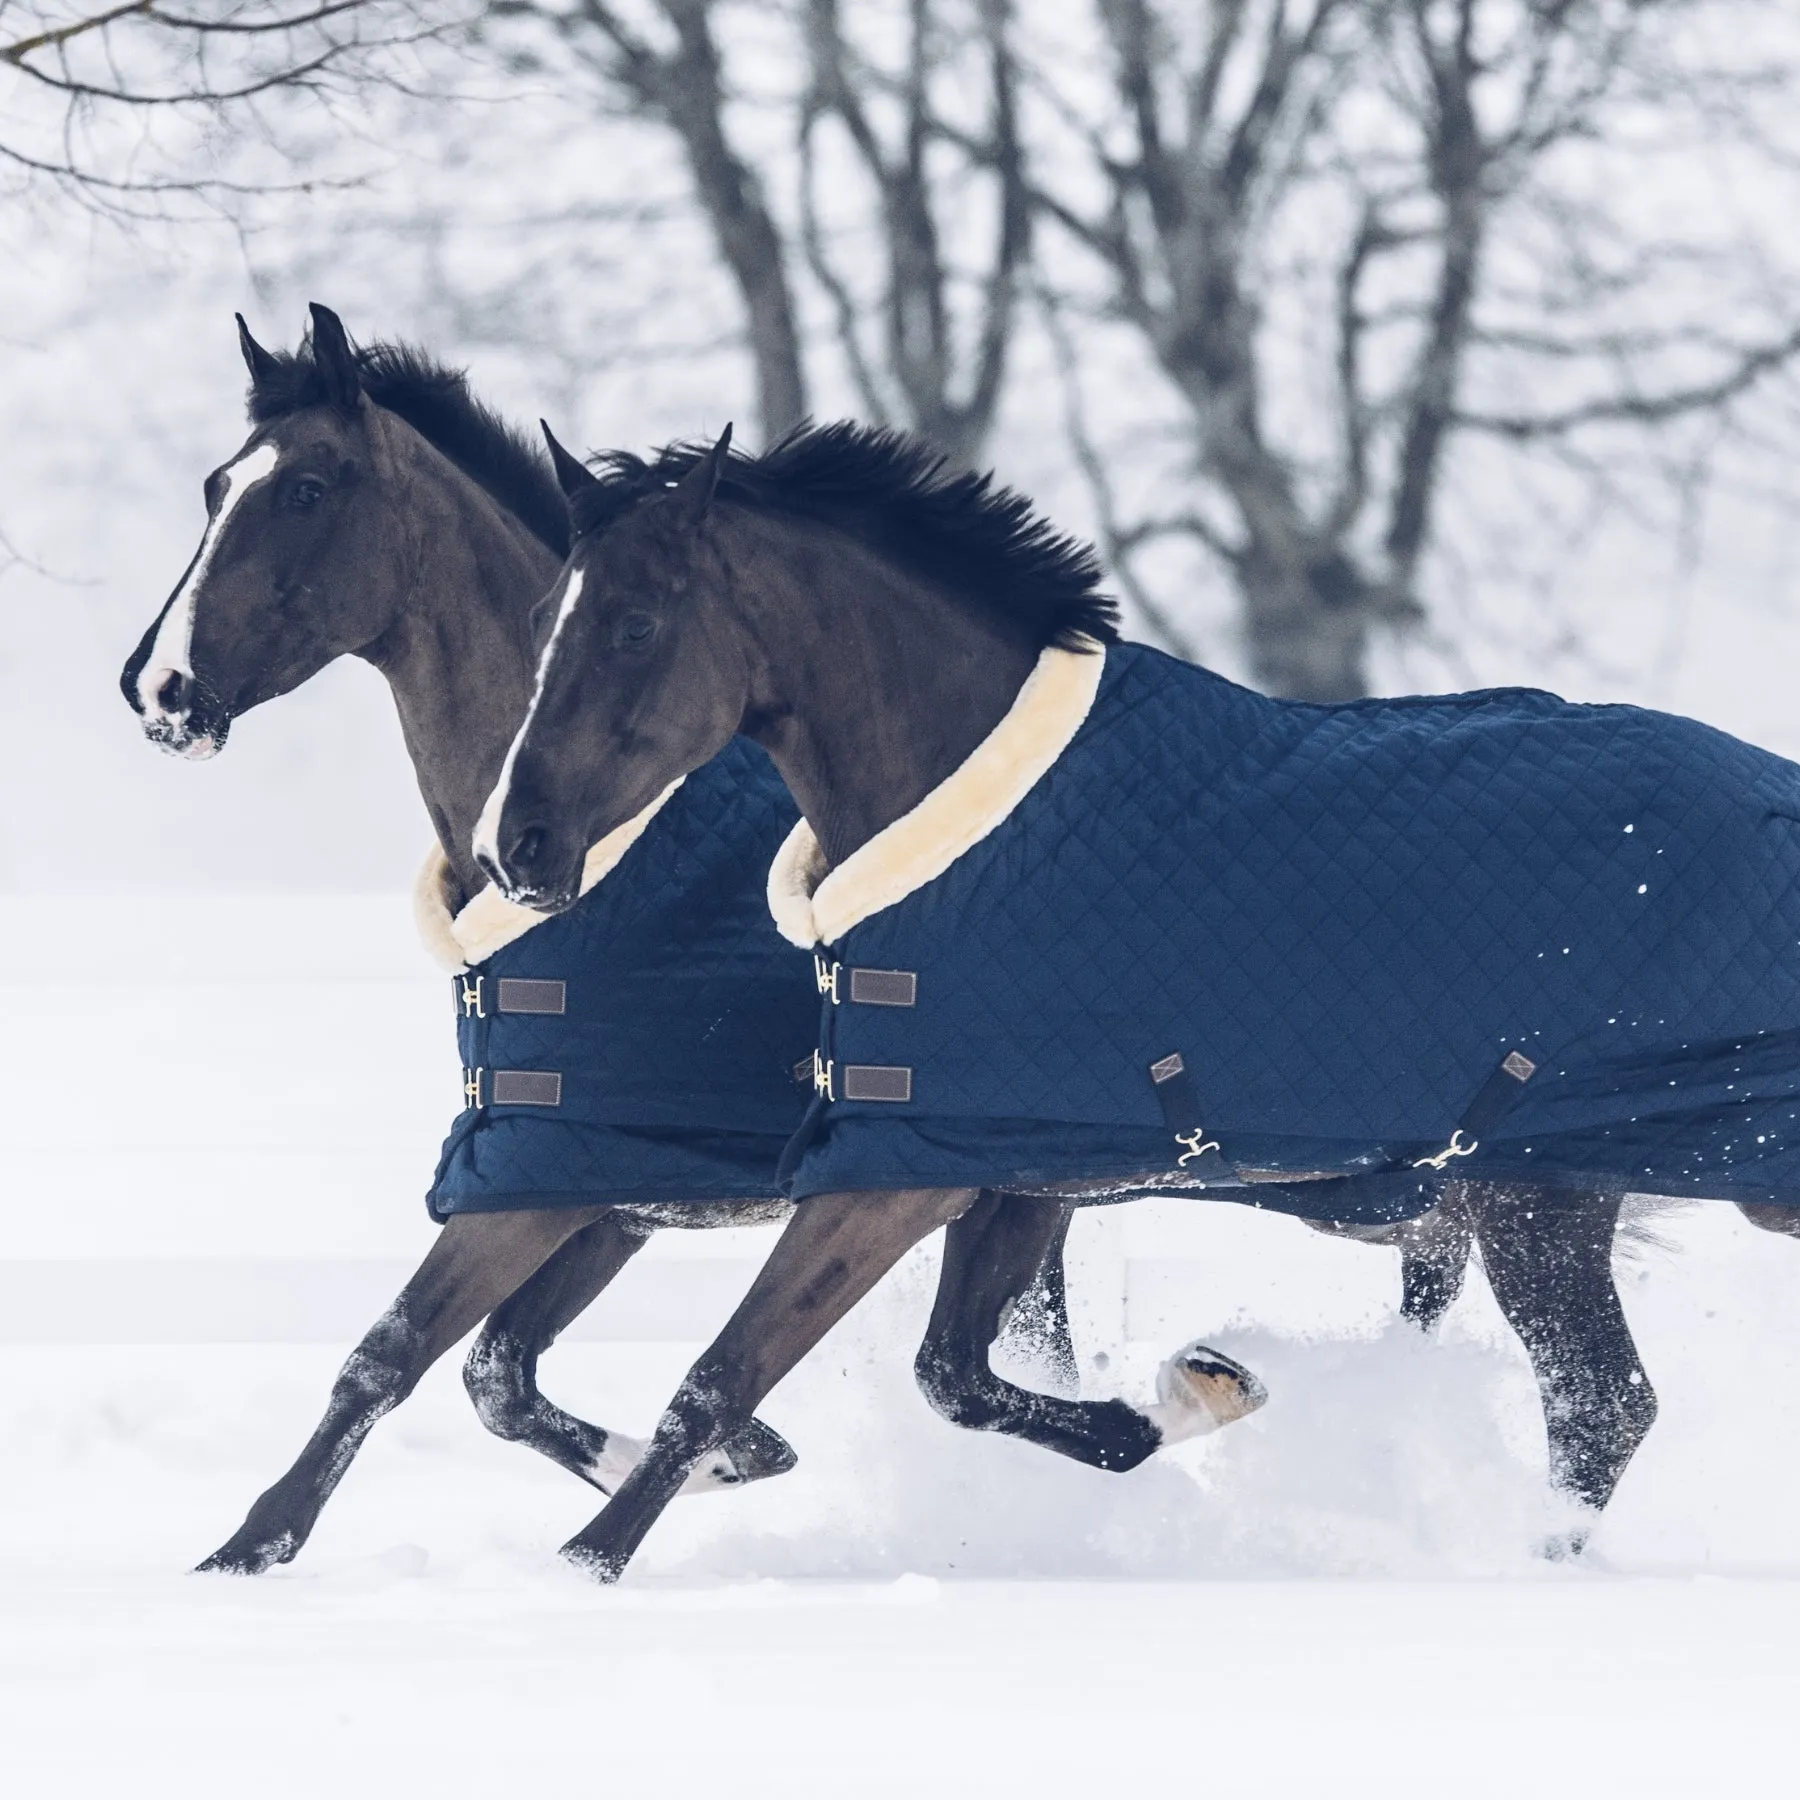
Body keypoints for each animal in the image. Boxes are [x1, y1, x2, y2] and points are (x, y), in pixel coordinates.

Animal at [475, 417, 1800, 1576]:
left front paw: (581, 1572)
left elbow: (724, 1376)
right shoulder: (1010, 1169)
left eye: (636, 623)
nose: (520, 846)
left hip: (1555, 1198)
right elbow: (957, 1378)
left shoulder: (898, 1176)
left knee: (1603, 1405)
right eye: (541, 621)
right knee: (1605, 1405)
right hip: (1553, 1197)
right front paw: (1195, 1393)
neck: (980, 823)